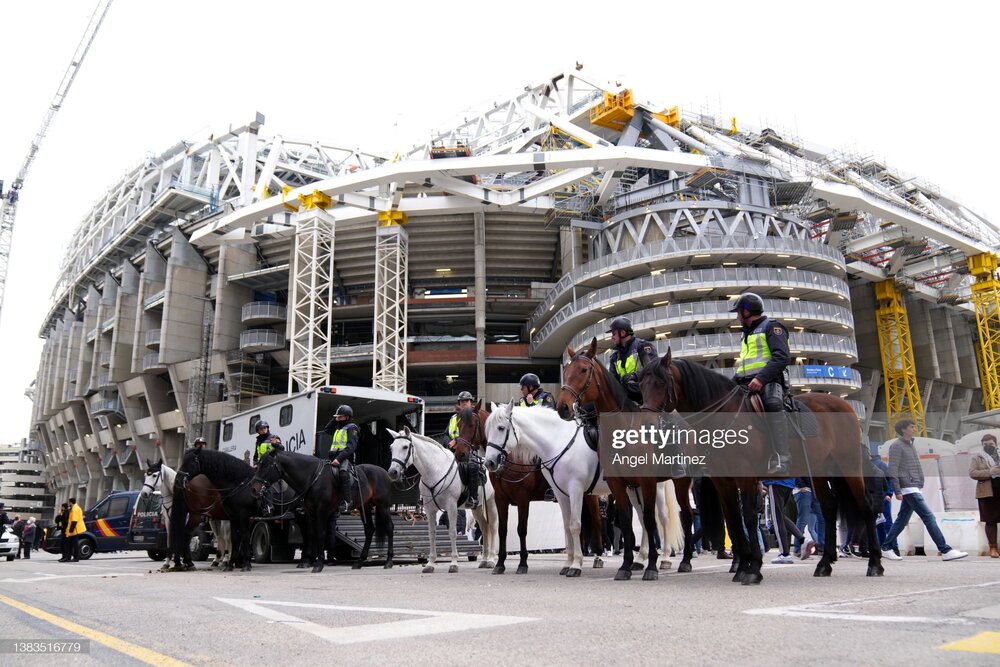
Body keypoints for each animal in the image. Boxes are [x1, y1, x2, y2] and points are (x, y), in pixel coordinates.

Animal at [388, 430, 500, 576]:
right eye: (391, 448)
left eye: (405, 447)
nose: (393, 472)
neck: (436, 470)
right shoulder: (429, 509)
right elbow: (431, 533)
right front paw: (430, 564)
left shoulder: (451, 507)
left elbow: (452, 532)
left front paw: (453, 563)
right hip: (478, 508)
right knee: (485, 527)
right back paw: (484, 560)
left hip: (491, 503)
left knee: (493, 526)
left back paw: (491, 560)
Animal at [452, 404, 604, 576]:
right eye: (458, 425)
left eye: (471, 425)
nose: (460, 454)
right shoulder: (500, 499)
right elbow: (502, 529)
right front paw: (500, 564)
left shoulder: (523, 498)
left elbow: (522, 529)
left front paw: (523, 563)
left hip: (588, 494)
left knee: (596, 521)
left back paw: (598, 557)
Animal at [482, 402, 684, 580]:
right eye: (487, 430)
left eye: (501, 428)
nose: (489, 462)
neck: (558, 442)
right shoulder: (560, 494)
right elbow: (565, 527)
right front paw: (567, 563)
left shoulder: (574, 490)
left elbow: (574, 526)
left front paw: (576, 565)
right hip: (633, 489)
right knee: (643, 519)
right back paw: (640, 560)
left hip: (652, 487)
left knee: (662, 519)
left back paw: (664, 558)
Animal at [560, 342, 700, 576]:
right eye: (566, 371)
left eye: (583, 370)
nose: (562, 407)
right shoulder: (617, 483)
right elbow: (626, 522)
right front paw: (625, 566)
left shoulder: (647, 481)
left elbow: (650, 521)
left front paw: (651, 567)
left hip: (679, 482)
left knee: (685, 515)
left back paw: (684, 560)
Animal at [640, 350, 884, 584]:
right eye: (641, 383)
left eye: (661, 383)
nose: (647, 424)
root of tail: (842, 403)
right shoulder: (723, 480)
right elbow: (734, 520)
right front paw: (743, 566)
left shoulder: (746, 476)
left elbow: (748, 517)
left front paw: (754, 568)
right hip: (820, 470)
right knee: (829, 507)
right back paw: (825, 563)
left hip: (848, 464)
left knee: (865, 505)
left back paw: (875, 563)